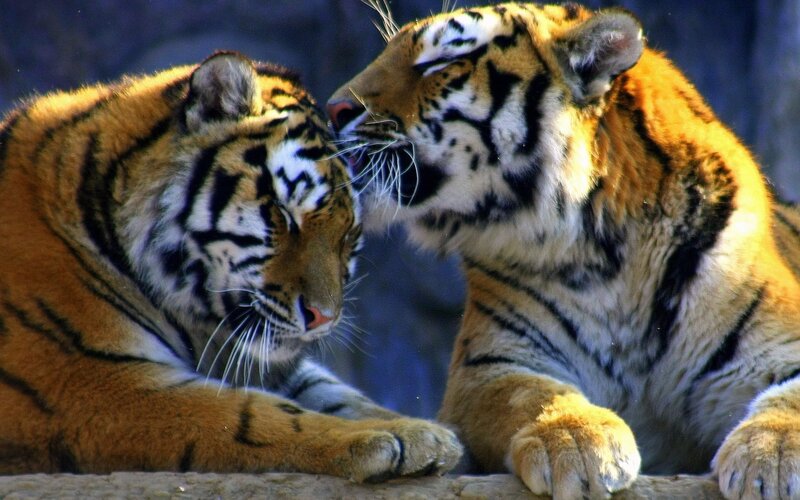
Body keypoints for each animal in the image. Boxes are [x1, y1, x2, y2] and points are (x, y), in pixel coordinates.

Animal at [0, 51, 462, 478]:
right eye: (283, 215)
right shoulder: (91, 382)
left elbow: (338, 394)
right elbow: (252, 417)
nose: (323, 319)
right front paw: (396, 437)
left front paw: (426, 431)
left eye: (348, 235)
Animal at [327, 2, 800, 498]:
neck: (605, 248)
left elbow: (789, 400)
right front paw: (577, 443)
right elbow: (532, 394)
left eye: (440, 63)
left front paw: (772, 460)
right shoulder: (489, 365)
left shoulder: (775, 345)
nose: (334, 109)